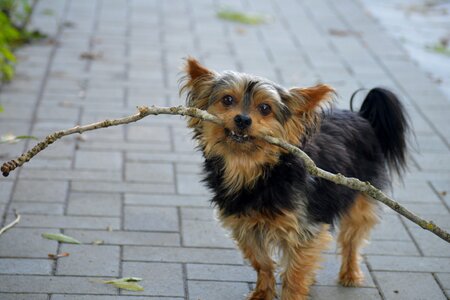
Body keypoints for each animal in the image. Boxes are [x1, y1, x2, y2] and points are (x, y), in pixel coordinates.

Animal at [179, 57, 408, 298]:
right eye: (227, 100)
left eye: (265, 108)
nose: (242, 120)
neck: (254, 170)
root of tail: (361, 116)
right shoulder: (244, 226)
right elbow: (262, 262)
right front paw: (262, 292)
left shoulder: (303, 230)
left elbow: (294, 274)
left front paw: (292, 293)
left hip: (360, 197)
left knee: (352, 240)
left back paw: (350, 273)